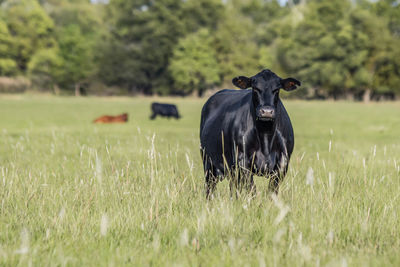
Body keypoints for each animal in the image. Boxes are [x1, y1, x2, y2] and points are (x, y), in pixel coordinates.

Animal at [200, 69, 300, 199]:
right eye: (255, 88)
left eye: (277, 89)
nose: (266, 111)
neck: (265, 134)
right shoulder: (242, 160)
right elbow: (252, 189)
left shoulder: (283, 162)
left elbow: (272, 190)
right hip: (208, 163)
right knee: (210, 188)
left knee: (234, 187)